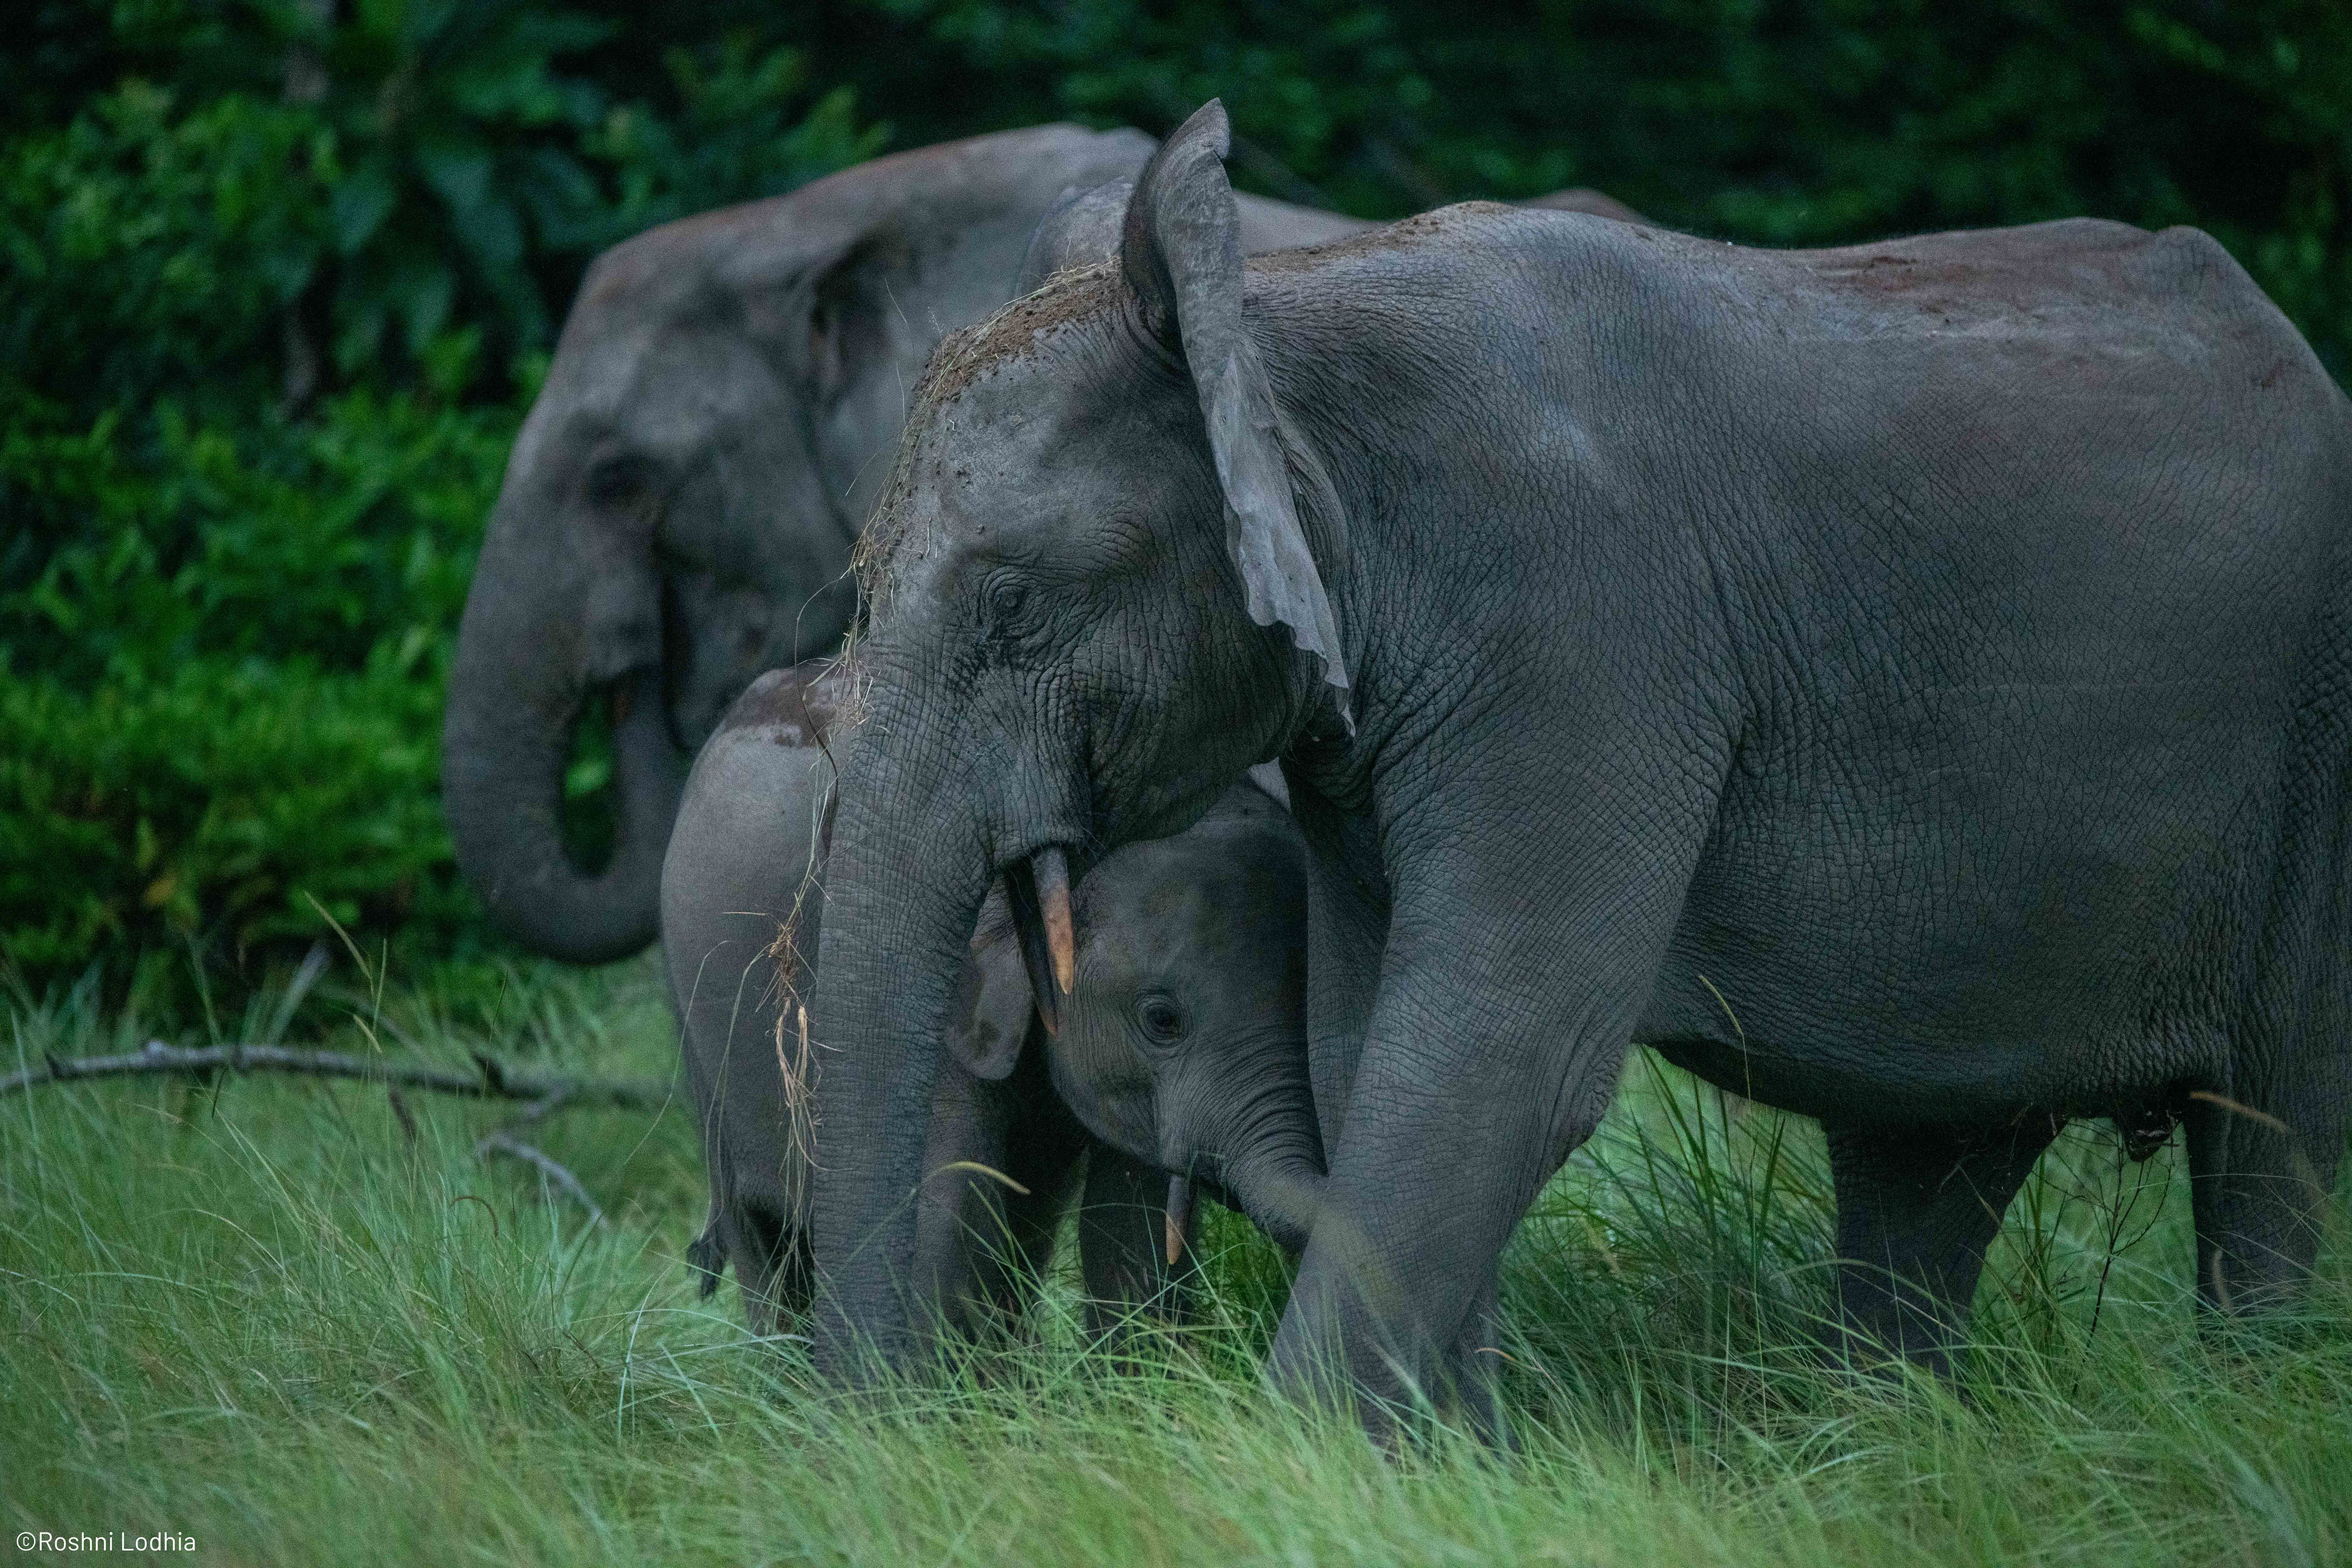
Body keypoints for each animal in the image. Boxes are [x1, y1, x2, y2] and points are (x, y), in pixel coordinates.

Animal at [801, 95, 2352, 1434]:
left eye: (1013, 608)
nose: (897, 1423)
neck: (1280, 316)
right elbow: (1369, 1054)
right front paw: (1454, 1469)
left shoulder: (1587, 636)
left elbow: (1497, 1056)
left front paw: (1306, 1467)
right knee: (1926, 1165)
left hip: (2317, 760)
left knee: (2267, 1144)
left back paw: (2242, 1408)